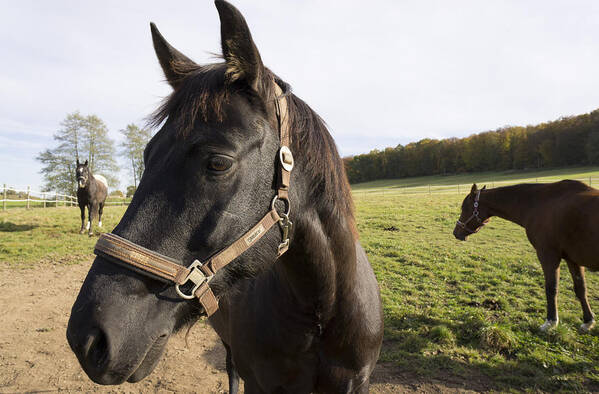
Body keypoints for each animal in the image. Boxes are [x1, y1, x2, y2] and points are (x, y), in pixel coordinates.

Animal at [454, 181, 599, 332]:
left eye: (464, 208)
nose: (455, 232)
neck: (538, 204)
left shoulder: (548, 255)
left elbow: (551, 288)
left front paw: (551, 322)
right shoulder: (572, 259)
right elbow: (581, 288)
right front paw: (588, 321)